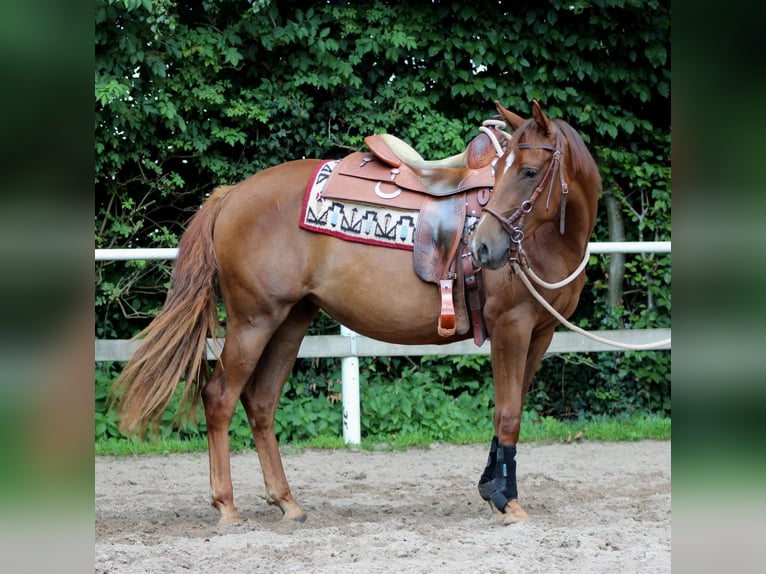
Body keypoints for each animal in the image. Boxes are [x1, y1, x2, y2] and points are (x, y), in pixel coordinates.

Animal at [111, 100, 601, 526]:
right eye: (501, 173)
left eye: (530, 171)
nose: (483, 248)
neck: (548, 240)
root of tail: (231, 195)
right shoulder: (510, 328)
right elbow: (508, 412)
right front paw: (507, 501)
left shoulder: (540, 333)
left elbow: (508, 408)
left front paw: (491, 489)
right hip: (254, 320)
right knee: (220, 398)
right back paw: (227, 507)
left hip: (291, 321)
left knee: (262, 402)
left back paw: (287, 503)